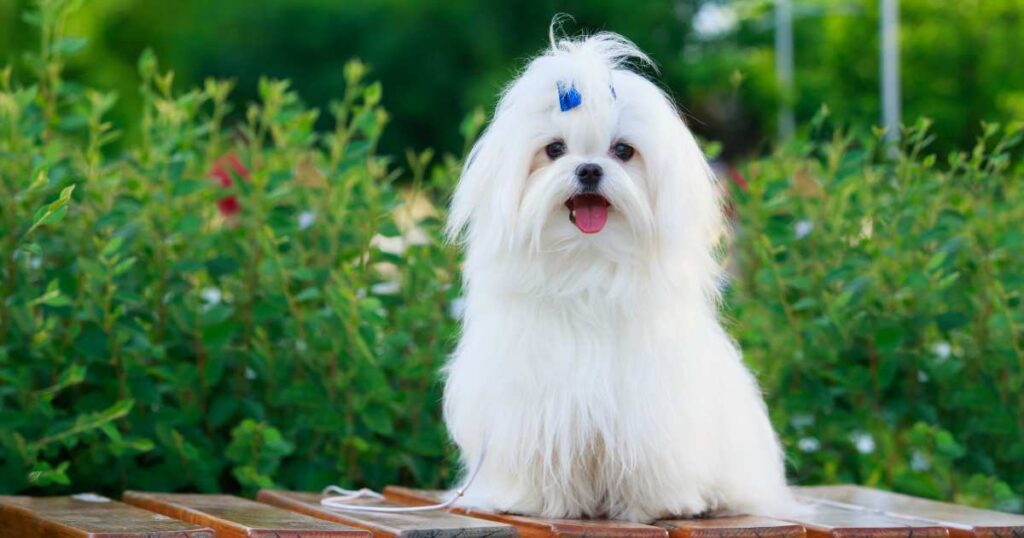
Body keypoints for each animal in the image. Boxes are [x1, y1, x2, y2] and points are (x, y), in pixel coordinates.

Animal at [440, 30, 790, 524]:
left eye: (623, 151)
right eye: (554, 149)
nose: (589, 169)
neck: (587, 266)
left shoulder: (650, 406)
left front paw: (658, 504)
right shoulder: (531, 403)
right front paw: (534, 500)